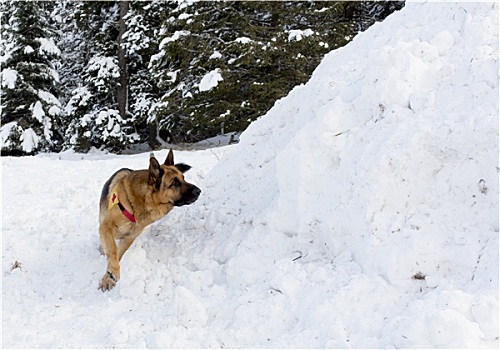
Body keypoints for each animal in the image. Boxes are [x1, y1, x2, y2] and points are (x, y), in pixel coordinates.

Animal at [97, 149, 199, 292]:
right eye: (174, 183)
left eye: (183, 178)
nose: (199, 191)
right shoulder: (106, 226)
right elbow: (112, 250)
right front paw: (112, 273)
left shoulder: (129, 237)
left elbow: (118, 253)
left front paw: (108, 277)